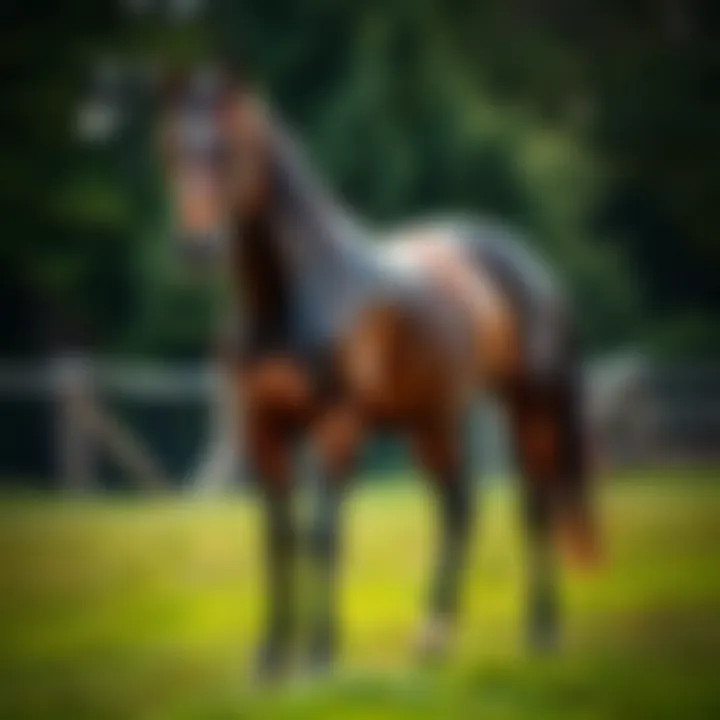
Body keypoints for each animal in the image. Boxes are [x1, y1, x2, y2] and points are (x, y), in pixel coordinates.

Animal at [159, 67, 598, 677]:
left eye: (230, 150)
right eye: (175, 148)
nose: (196, 246)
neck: (293, 294)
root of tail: (534, 269)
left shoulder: (338, 421)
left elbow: (324, 534)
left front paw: (320, 656)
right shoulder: (262, 427)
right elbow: (278, 538)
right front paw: (271, 657)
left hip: (527, 407)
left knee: (536, 507)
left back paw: (541, 631)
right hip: (432, 421)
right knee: (459, 508)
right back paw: (433, 640)